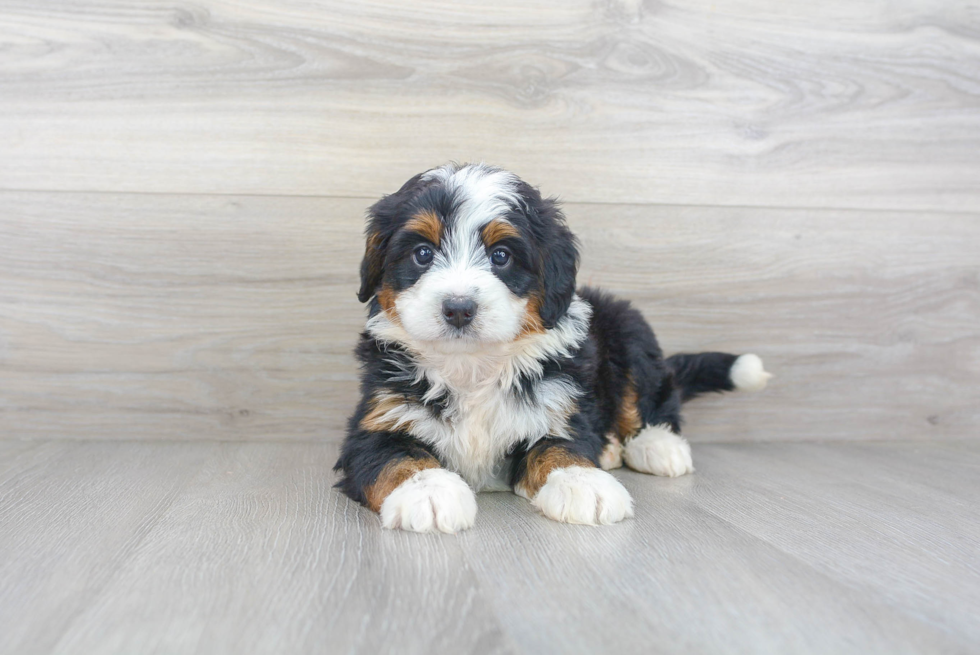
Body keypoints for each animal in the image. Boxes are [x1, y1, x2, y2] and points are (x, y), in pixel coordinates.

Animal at [336, 163, 772, 532]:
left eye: (501, 256)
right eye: (422, 253)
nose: (458, 308)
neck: (472, 366)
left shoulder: (560, 408)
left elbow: (561, 447)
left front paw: (582, 481)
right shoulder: (380, 417)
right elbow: (395, 457)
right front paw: (428, 491)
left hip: (628, 327)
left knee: (650, 394)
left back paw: (656, 445)